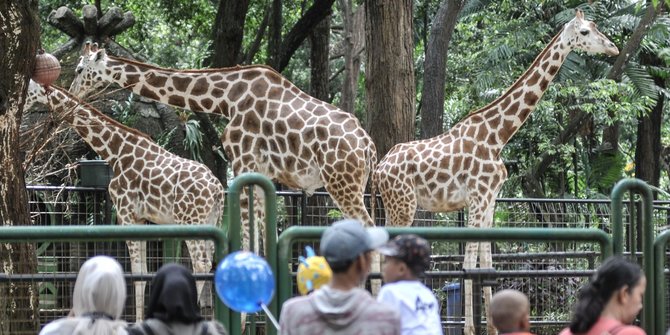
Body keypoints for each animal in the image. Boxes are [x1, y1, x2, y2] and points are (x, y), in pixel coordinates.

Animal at [25, 79, 226, 322]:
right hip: (211, 220)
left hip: (190, 221)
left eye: (29, 89)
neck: (116, 152)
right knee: (213, 263)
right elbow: (144, 272)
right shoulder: (141, 219)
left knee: (201, 264)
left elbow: (136, 273)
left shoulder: (125, 213)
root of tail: (217, 189)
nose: (22, 107)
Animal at [71, 43, 380, 255]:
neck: (226, 98)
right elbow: (265, 240)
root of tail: (368, 146)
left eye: (79, 69)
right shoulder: (263, 171)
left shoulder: (242, 161)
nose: (73, 92)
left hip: (342, 184)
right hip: (356, 184)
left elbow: (248, 242)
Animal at [372, 10, 620, 335]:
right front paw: (469, 328)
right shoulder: (477, 198)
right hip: (402, 205)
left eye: (595, 26)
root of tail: (378, 169)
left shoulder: (490, 199)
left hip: (390, 204)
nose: (613, 48)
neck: (499, 135)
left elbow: (486, 260)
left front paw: (492, 326)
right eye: (585, 32)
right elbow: (469, 259)